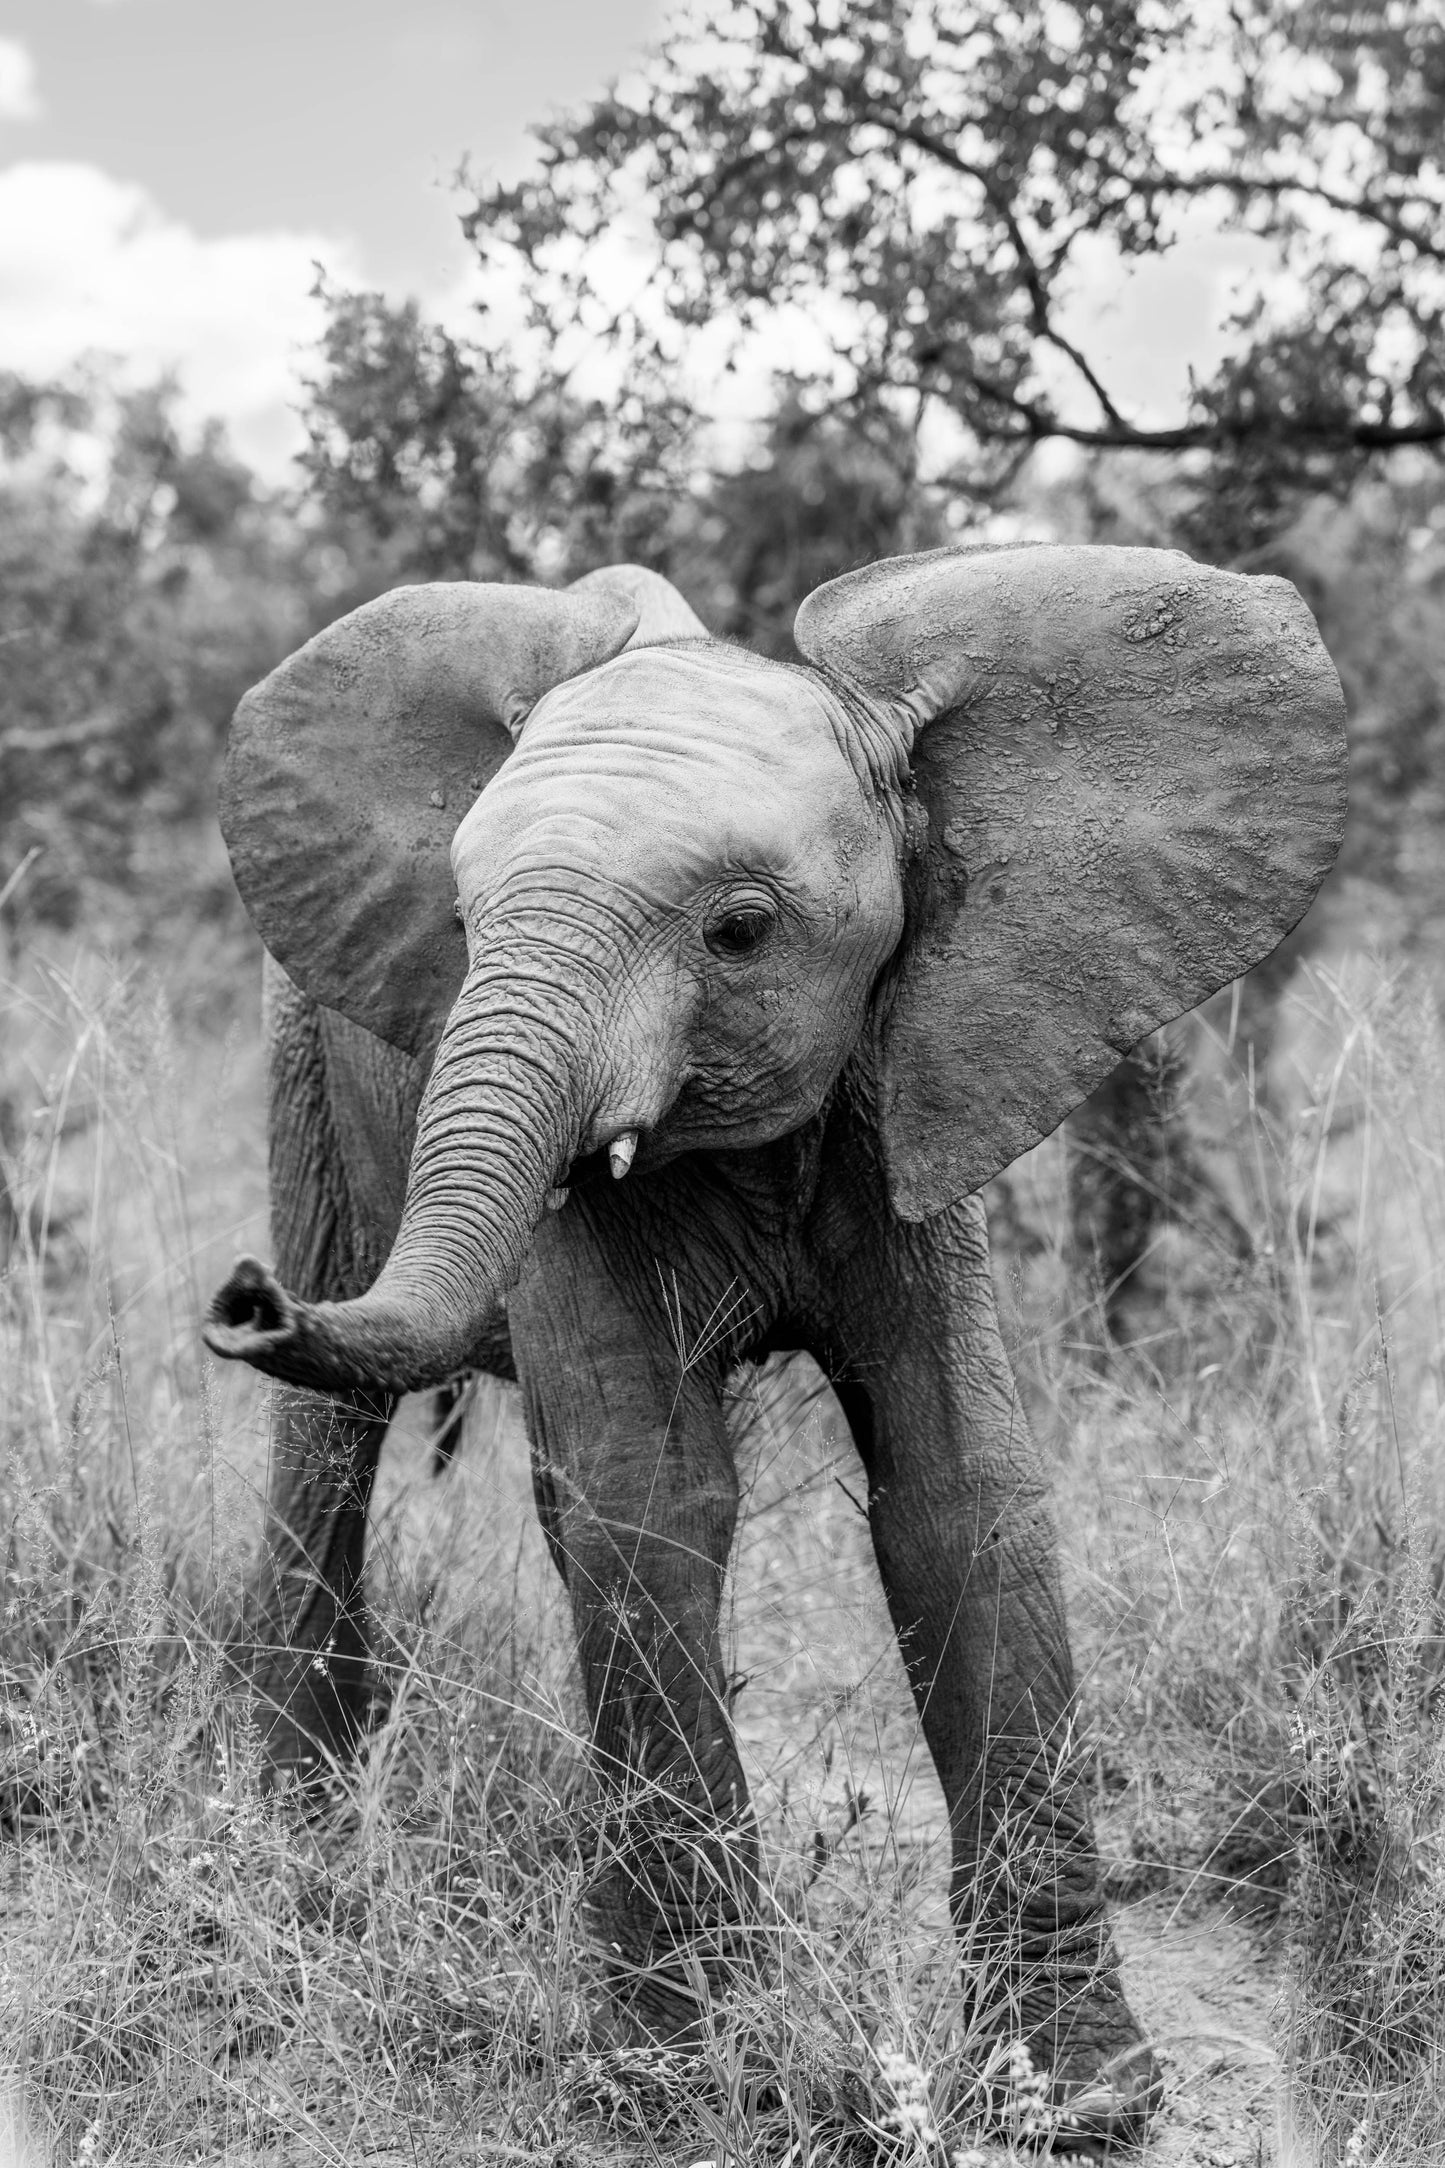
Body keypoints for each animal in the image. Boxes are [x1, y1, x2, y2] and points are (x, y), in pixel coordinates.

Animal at [203, 543, 1346, 2144]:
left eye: (737, 932)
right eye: (462, 925)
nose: (243, 1299)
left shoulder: (917, 1077)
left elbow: (963, 1497)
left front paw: (1074, 2108)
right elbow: (652, 1498)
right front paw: (697, 2085)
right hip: (300, 1053)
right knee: (330, 1451)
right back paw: (294, 1861)